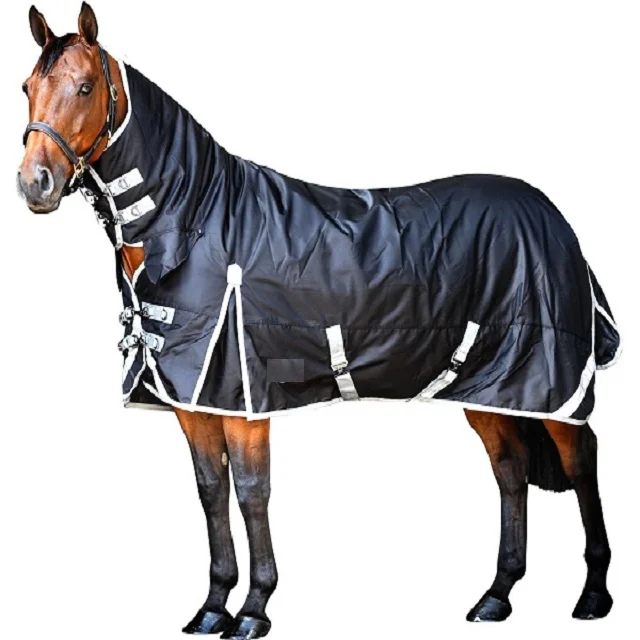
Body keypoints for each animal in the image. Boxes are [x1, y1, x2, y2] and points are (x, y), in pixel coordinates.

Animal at [17, 4, 619, 637]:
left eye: (86, 87)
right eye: (27, 88)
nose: (35, 183)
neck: (198, 217)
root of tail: (553, 216)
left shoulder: (245, 399)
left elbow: (252, 492)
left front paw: (254, 609)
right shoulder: (193, 403)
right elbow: (211, 491)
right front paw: (213, 606)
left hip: (552, 383)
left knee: (581, 461)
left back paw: (593, 595)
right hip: (491, 384)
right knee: (509, 469)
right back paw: (497, 595)